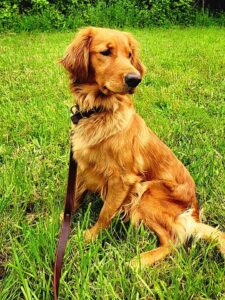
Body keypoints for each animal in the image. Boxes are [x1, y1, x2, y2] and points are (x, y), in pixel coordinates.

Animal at [60, 27, 225, 268]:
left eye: (129, 55)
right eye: (106, 52)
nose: (134, 79)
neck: (99, 110)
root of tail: (193, 213)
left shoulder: (123, 179)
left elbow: (104, 214)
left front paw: (89, 237)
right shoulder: (82, 165)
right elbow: (73, 199)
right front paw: (60, 223)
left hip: (147, 191)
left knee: (174, 241)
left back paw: (137, 262)